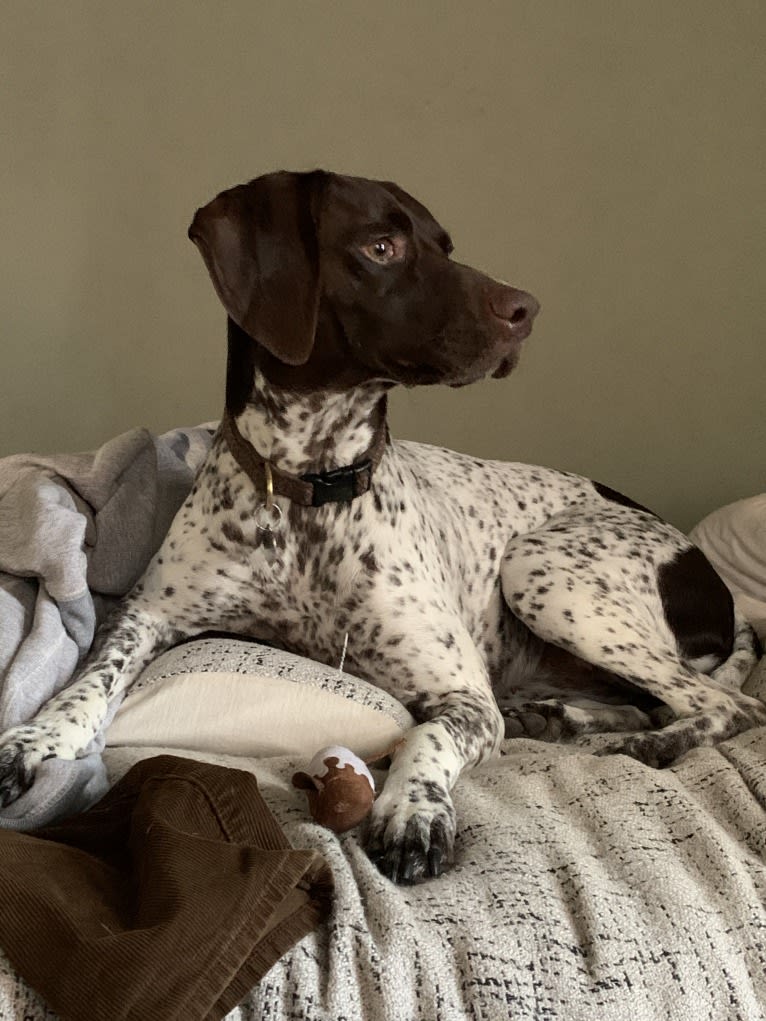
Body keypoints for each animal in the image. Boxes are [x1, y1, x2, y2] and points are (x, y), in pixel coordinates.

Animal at [1, 171, 766, 882]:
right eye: (381, 247)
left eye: (445, 246)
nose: (528, 310)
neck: (309, 489)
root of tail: (718, 589)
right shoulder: (147, 615)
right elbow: (90, 680)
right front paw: (35, 739)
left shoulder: (464, 695)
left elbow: (429, 738)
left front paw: (414, 810)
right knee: (653, 702)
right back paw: (565, 719)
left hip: (543, 571)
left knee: (726, 704)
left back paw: (645, 746)